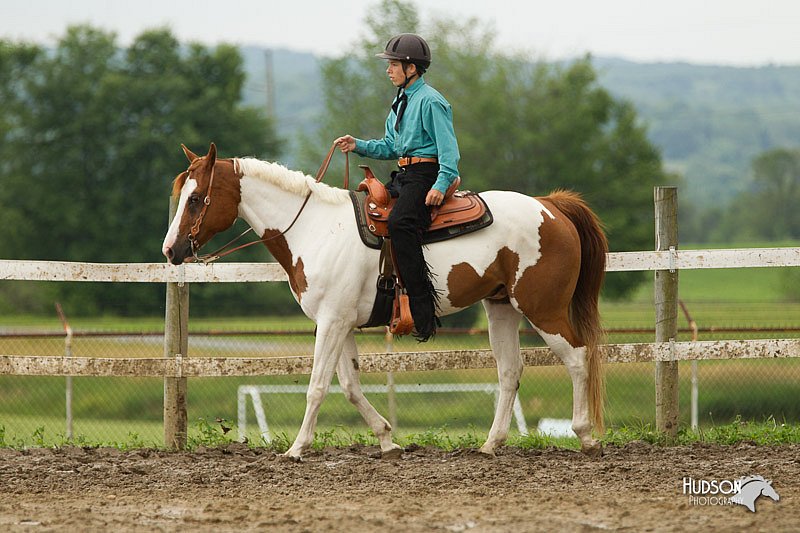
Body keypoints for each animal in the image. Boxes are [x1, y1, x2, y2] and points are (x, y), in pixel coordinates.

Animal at [164, 142, 612, 458]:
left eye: (195, 198)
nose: (171, 250)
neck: (313, 228)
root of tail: (550, 206)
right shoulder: (339, 323)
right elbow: (348, 385)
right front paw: (387, 440)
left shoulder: (331, 323)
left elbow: (317, 386)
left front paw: (296, 448)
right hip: (501, 307)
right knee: (510, 371)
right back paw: (491, 444)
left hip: (543, 309)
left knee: (577, 357)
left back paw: (585, 437)